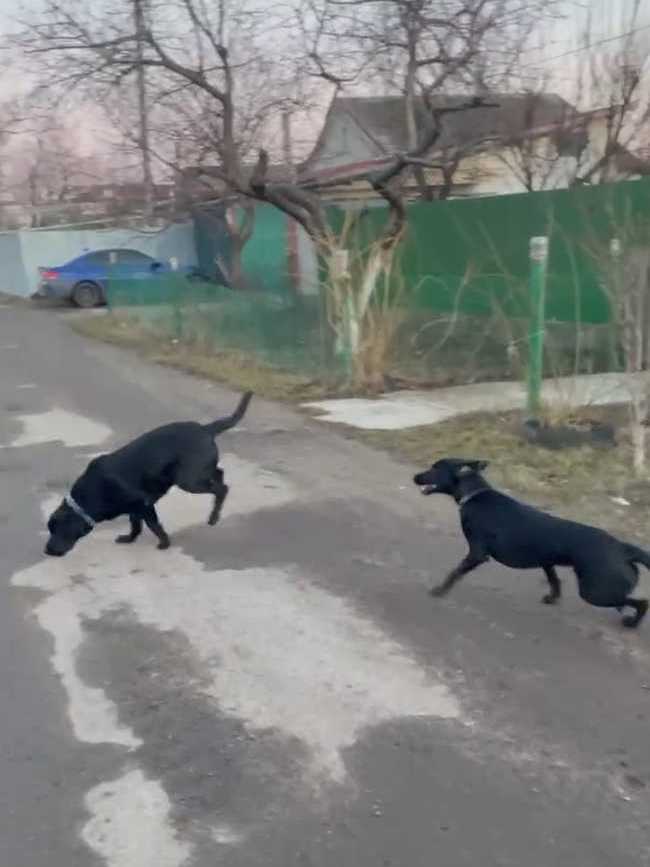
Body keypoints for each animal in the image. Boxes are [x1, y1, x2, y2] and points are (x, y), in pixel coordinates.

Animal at [44, 391, 253, 557]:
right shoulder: (135, 509)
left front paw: (164, 543)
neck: (90, 496)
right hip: (196, 473)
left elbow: (154, 526)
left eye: (57, 530)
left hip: (189, 480)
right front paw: (129, 538)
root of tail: (205, 428)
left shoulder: (143, 504)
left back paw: (213, 517)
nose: (47, 550)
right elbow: (135, 525)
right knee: (219, 473)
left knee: (222, 488)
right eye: (50, 529)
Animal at [413, 457, 650, 628]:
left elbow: (455, 573)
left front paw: (439, 590)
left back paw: (632, 623)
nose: (415, 477)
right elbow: (554, 580)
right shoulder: (546, 559)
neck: (475, 495)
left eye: (435, 468)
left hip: (595, 592)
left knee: (641, 603)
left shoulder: (477, 554)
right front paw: (553, 598)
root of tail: (623, 548)